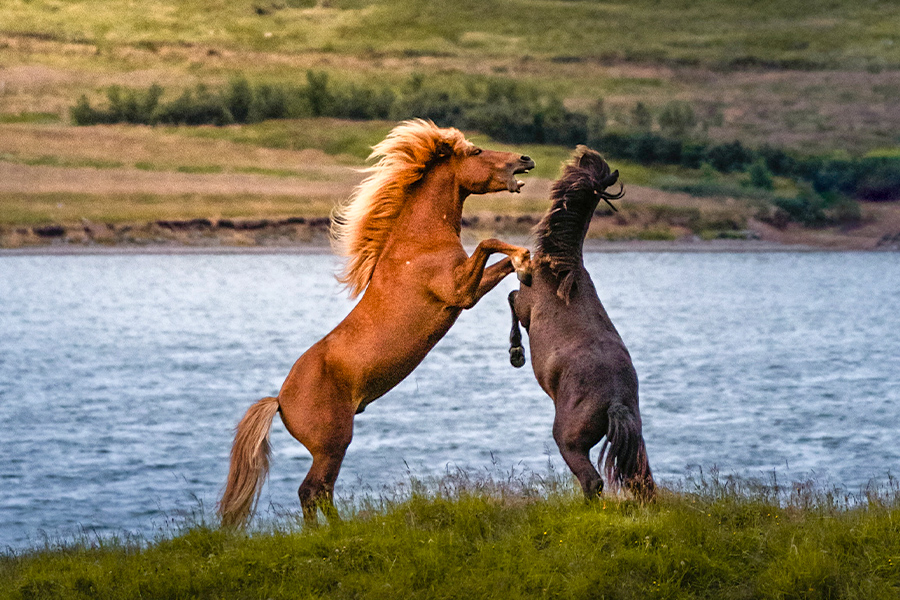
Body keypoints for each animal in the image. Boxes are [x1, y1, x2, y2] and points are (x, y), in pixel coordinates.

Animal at [219, 119, 535, 527]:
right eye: (477, 151)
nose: (525, 159)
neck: (418, 240)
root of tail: (280, 401)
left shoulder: (468, 291)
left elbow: (501, 263)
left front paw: (526, 266)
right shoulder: (459, 292)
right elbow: (490, 242)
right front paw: (525, 257)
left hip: (331, 448)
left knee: (319, 492)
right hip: (334, 444)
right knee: (312, 490)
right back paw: (331, 533)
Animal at [507, 146, 655, 501]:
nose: (581, 153)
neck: (561, 268)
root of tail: (615, 402)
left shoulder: (526, 304)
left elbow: (510, 298)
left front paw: (516, 353)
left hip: (569, 440)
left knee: (593, 481)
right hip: (634, 444)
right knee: (641, 481)